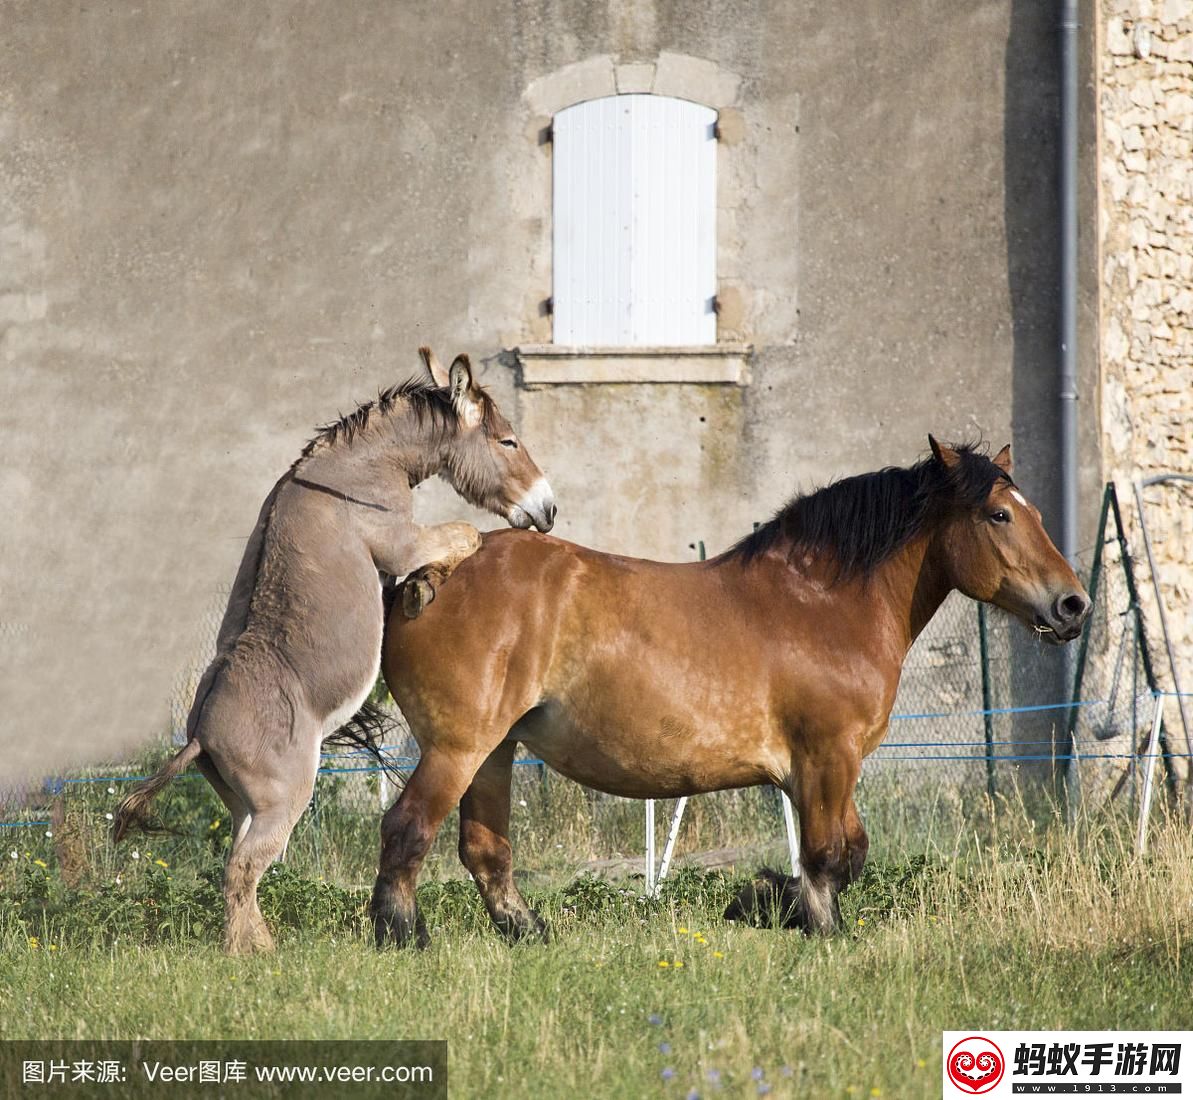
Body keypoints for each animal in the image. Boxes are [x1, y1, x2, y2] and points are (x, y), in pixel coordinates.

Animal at [372, 436, 1092, 944]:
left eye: (1030, 510)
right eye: (998, 514)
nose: (1072, 605)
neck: (821, 602)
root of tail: (424, 577)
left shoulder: (825, 770)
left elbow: (848, 852)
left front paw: (765, 900)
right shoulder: (827, 758)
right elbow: (827, 857)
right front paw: (810, 922)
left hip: (494, 751)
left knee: (484, 849)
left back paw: (528, 933)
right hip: (459, 748)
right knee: (407, 829)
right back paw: (402, 937)